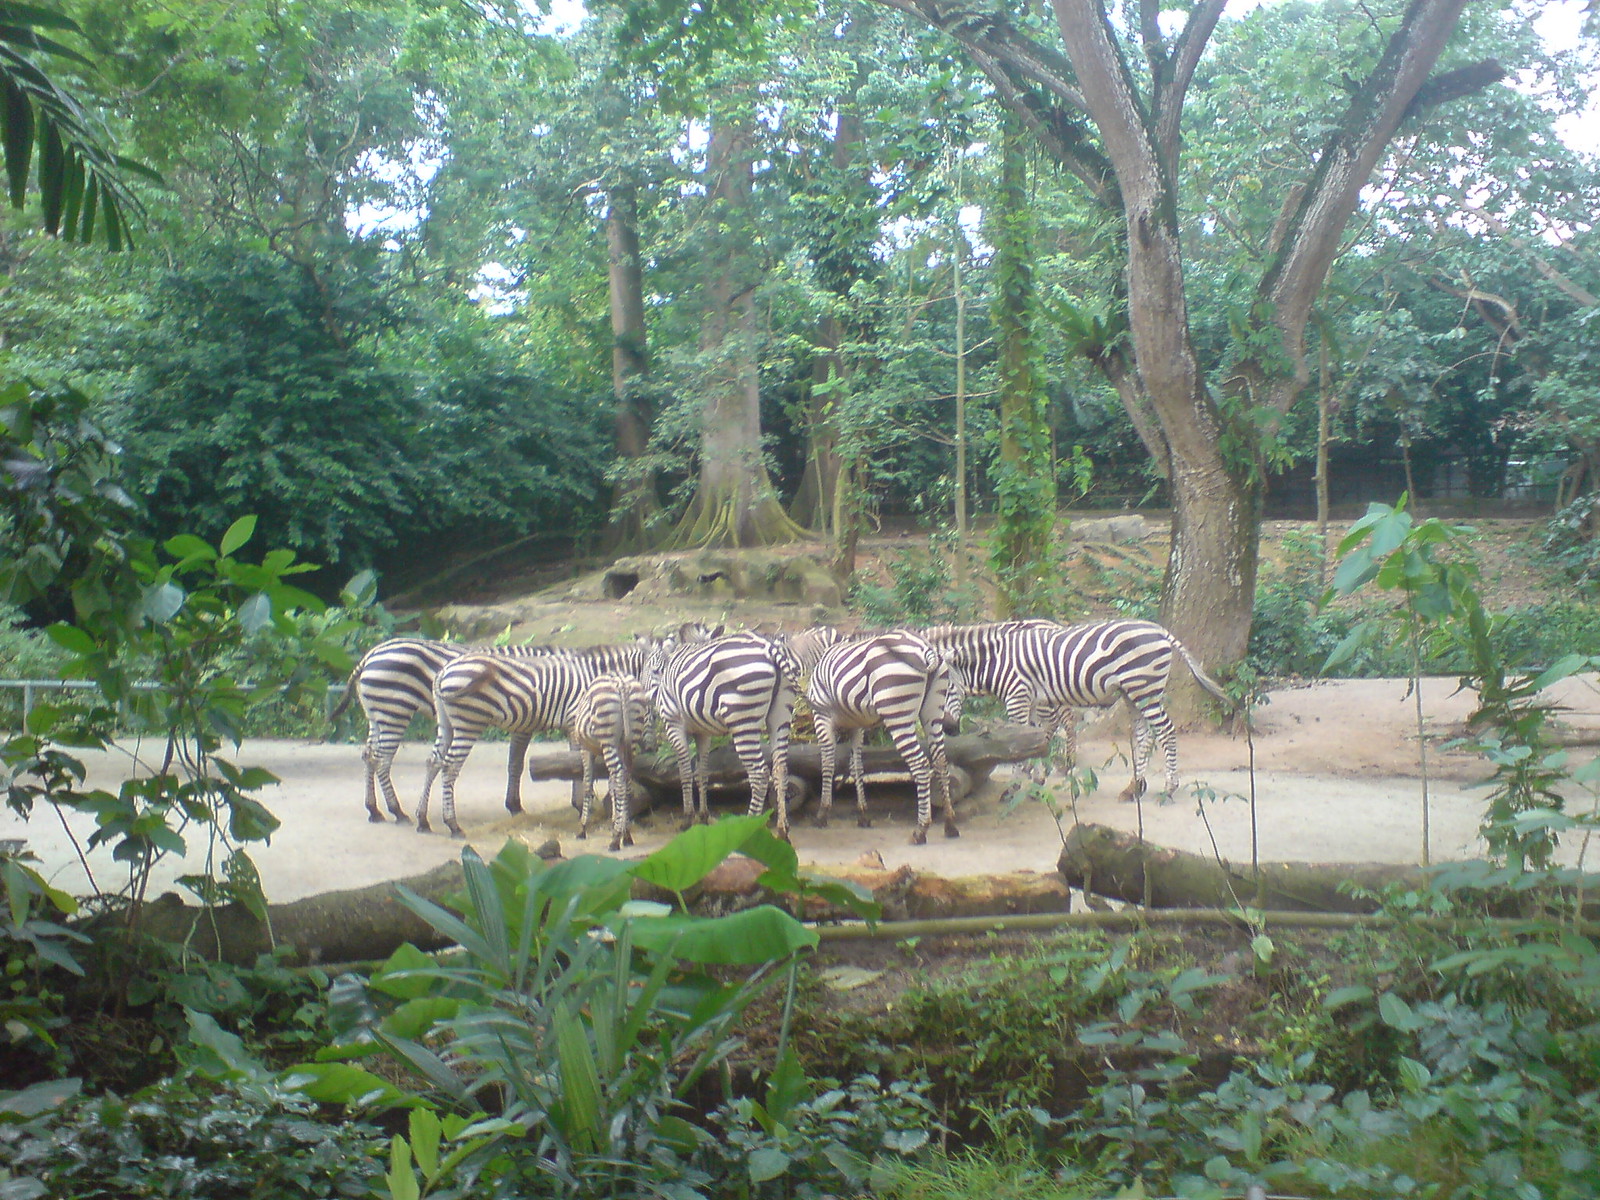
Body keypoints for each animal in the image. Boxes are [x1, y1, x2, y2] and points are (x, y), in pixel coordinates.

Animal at [569, 673, 653, 851]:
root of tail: (621, 682)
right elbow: (612, 785)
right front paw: (616, 820)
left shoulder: (586, 750)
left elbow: (588, 785)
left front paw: (583, 828)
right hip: (631, 738)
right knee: (626, 781)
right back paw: (626, 834)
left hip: (608, 739)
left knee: (621, 780)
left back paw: (616, 839)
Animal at [644, 630, 805, 837]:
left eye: (653, 670)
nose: (647, 698)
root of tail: (768, 646)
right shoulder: (702, 732)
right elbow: (702, 772)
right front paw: (703, 816)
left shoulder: (674, 723)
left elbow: (685, 771)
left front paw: (688, 818)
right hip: (780, 716)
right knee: (781, 769)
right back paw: (783, 830)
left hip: (743, 720)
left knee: (759, 774)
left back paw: (748, 826)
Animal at [805, 630, 957, 844]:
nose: (954, 726)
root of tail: (926, 650)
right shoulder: (857, 726)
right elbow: (857, 766)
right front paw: (863, 814)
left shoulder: (822, 716)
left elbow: (827, 762)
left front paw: (822, 813)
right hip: (933, 712)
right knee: (940, 761)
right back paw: (950, 824)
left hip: (897, 712)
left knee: (920, 764)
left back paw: (920, 830)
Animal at [922, 619, 1232, 801]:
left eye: (945, 690)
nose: (948, 728)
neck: (996, 663)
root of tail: (1160, 630)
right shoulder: (1031, 699)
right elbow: (1030, 740)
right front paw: (1034, 782)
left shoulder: (1018, 697)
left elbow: (1017, 746)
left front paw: (1014, 789)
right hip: (1133, 692)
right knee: (1144, 734)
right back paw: (1134, 787)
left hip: (1143, 688)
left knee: (1165, 731)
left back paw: (1169, 787)